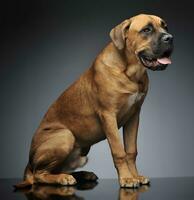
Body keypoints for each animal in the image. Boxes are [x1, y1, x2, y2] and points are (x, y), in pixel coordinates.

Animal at [14, 13, 173, 188]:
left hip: (81, 153)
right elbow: (119, 151)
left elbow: (131, 150)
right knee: (39, 175)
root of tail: (28, 165)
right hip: (65, 136)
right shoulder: (108, 115)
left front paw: (135, 176)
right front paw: (127, 178)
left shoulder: (134, 116)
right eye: (146, 30)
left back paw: (83, 175)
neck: (129, 72)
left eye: (165, 26)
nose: (170, 38)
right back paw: (62, 179)